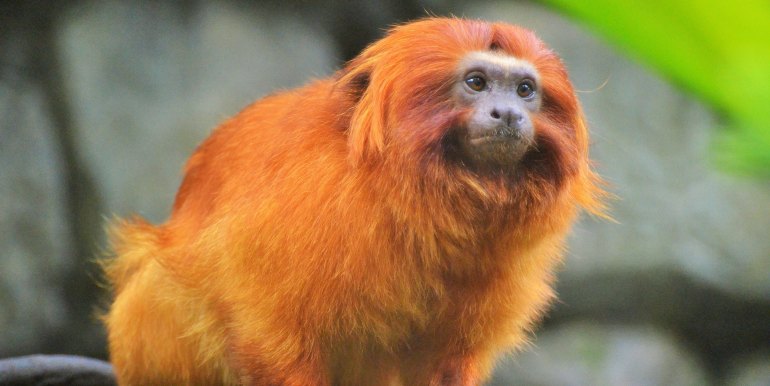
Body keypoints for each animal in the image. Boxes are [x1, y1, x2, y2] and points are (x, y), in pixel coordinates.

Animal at [102, 16, 608, 384]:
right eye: (477, 83)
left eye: (525, 90)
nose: (509, 114)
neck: (419, 206)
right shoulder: (300, 211)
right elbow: (271, 339)